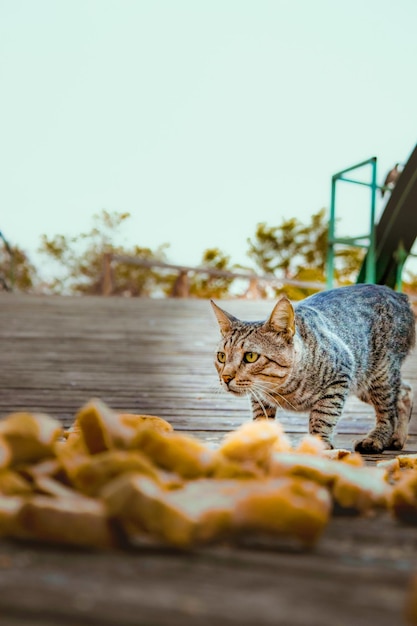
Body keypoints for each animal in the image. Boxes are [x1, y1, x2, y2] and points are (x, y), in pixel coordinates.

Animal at [213, 284, 414, 454]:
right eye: (221, 357)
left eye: (250, 357)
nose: (226, 377)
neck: (284, 389)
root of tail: (398, 294)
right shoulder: (259, 396)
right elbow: (261, 418)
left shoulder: (340, 377)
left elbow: (323, 415)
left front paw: (319, 443)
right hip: (364, 380)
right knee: (404, 392)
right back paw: (398, 438)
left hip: (379, 375)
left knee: (388, 412)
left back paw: (377, 438)